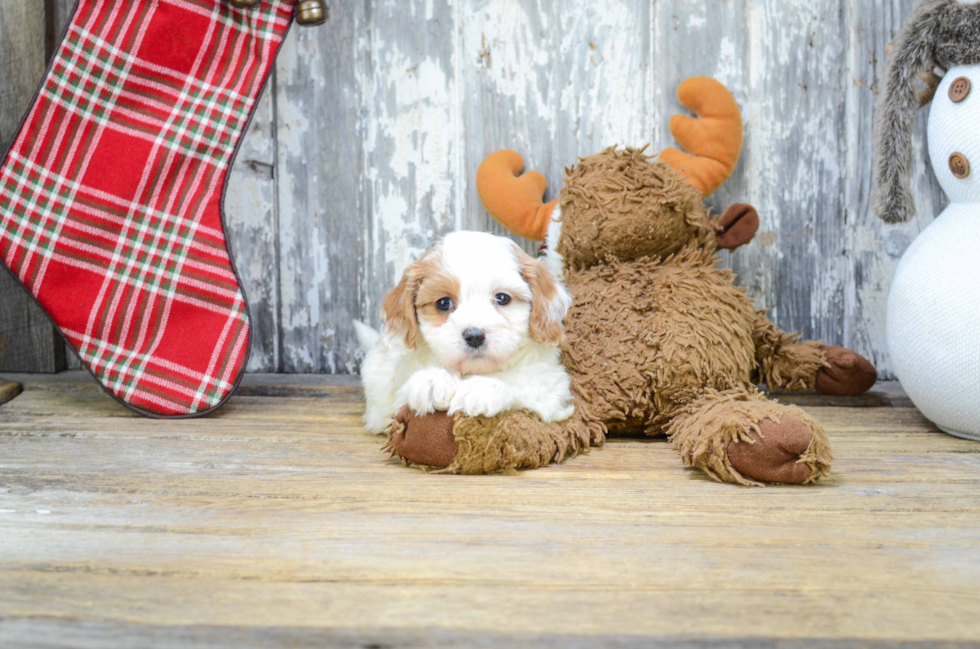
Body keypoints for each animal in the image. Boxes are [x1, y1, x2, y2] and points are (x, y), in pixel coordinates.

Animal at [356, 230, 576, 432]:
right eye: (443, 303)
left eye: (502, 298)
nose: (474, 336)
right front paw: (432, 381)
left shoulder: (551, 383)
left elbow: (522, 379)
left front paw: (481, 388)